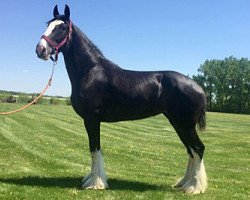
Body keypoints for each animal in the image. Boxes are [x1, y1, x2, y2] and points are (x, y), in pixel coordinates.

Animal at [35, 5, 207, 195]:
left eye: (62, 28)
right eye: (48, 25)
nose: (40, 49)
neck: (91, 71)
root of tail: (199, 88)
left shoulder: (92, 119)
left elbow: (94, 148)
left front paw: (95, 183)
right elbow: (94, 149)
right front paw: (93, 180)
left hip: (186, 125)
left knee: (198, 148)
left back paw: (195, 187)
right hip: (178, 124)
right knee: (191, 151)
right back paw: (184, 183)